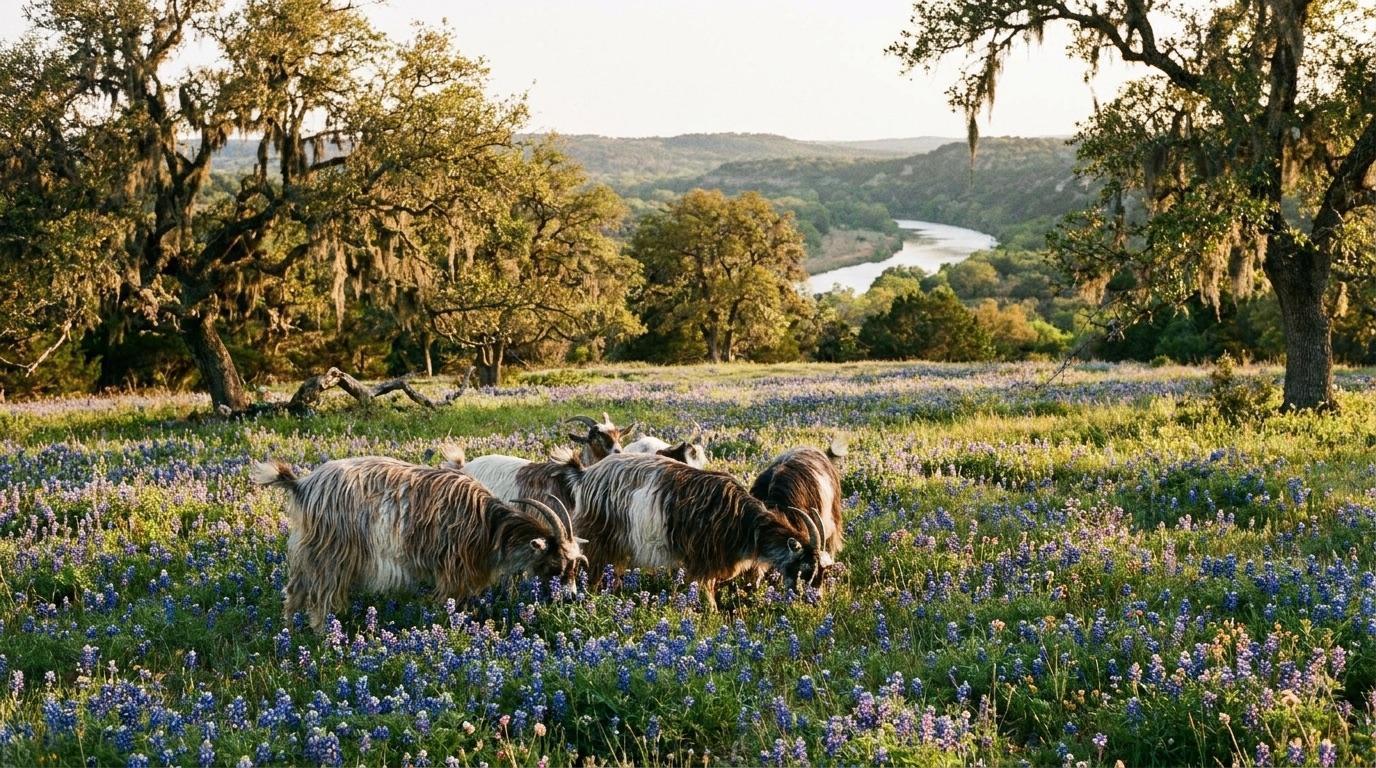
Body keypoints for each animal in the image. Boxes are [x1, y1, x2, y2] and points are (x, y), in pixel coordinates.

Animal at [250, 456, 585, 632]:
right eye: (556, 563)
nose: (571, 597)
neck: (491, 525)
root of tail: (304, 485)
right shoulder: (453, 570)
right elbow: (453, 603)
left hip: (307, 553)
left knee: (293, 593)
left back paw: (289, 632)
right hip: (332, 555)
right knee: (320, 599)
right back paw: (323, 639)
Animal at [572, 454, 825, 609]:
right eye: (805, 569)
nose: (813, 601)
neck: (745, 523)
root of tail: (585, 476)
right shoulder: (702, 561)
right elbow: (706, 592)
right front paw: (709, 612)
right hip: (598, 538)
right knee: (592, 571)